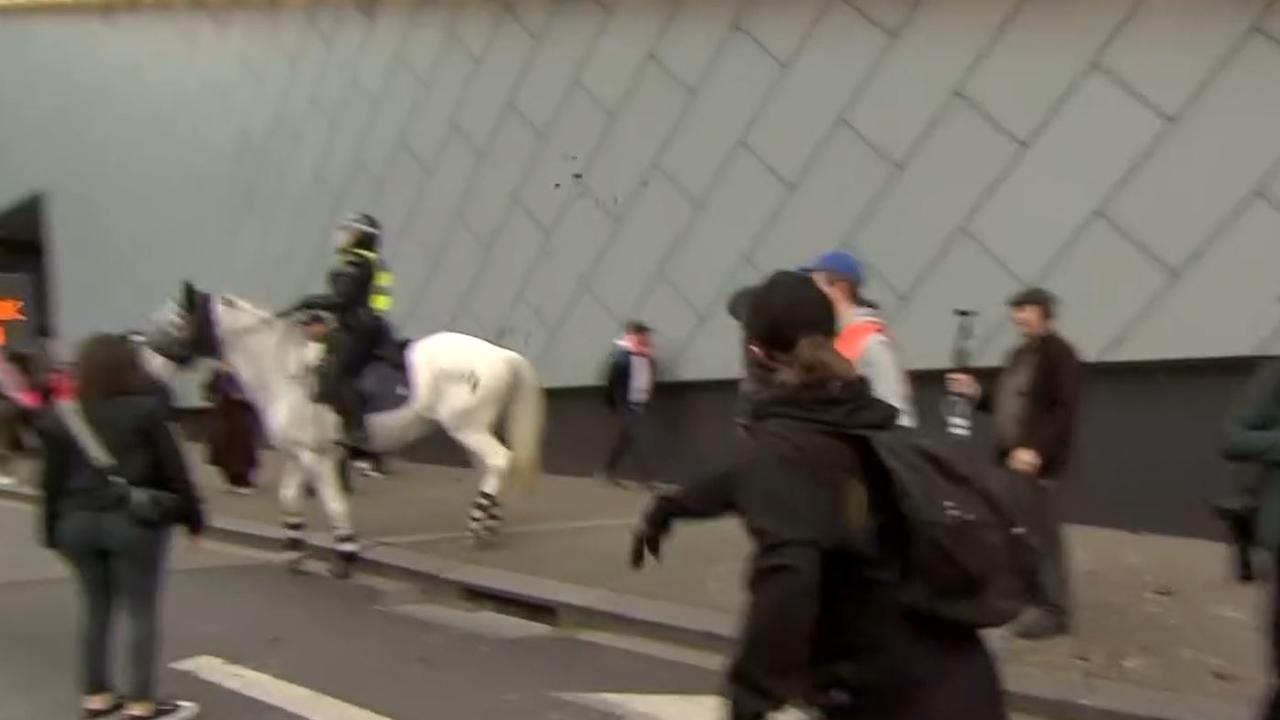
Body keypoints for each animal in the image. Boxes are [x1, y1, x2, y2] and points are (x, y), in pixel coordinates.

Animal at [147, 283, 547, 573]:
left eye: (178, 319)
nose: (152, 355)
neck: (286, 371)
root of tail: (501, 355)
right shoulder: (299, 455)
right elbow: (289, 498)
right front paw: (294, 550)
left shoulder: (318, 456)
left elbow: (334, 503)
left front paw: (345, 553)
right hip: (473, 429)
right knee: (492, 466)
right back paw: (488, 521)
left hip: (467, 428)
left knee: (499, 461)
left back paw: (479, 524)